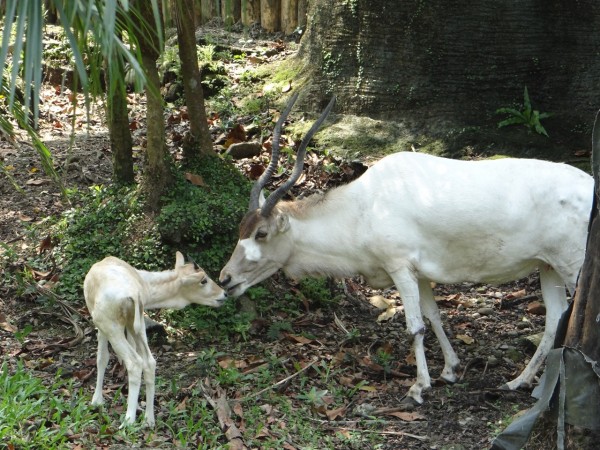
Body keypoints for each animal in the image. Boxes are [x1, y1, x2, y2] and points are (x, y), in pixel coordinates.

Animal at [83, 251, 226, 428]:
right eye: (204, 280)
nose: (224, 294)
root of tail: (134, 294)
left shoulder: (101, 325)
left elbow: (102, 358)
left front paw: (96, 401)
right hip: (137, 325)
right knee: (149, 362)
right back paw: (149, 420)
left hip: (111, 326)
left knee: (134, 362)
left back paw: (128, 421)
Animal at [220, 92, 596, 404]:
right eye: (242, 229)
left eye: (262, 234)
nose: (225, 279)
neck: (365, 206)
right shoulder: (420, 273)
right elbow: (434, 316)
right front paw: (450, 370)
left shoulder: (399, 266)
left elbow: (415, 326)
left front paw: (419, 387)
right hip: (548, 266)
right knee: (555, 319)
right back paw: (518, 382)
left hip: (573, 265)